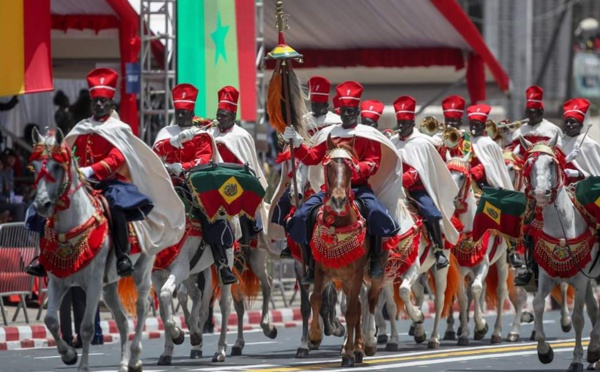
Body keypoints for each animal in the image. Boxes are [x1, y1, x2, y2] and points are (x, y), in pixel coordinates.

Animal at [30, 129, 154, 372]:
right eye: (35, 165)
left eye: (57, 166)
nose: (41, 205)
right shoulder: (57, 281)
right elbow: (51, 321)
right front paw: (68, 355)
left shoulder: (93, 282)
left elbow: (86, 327)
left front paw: (83, 366)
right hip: (109, 285)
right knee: (122, 320)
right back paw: (123, 363)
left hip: (141, 270)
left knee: (142, 307)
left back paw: (134, 359)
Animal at [308, 134, 386, 366]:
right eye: (329, 166)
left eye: (350, 168)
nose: (338, 200)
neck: (338, 224)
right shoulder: (320, 270)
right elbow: (316, 299)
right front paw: (314, 335)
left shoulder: (358, 272)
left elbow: (352, 313)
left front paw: (349, 354)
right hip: (343, 279)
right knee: (358, 306)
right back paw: (356, 347)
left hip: (371, 276)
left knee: (368, 302)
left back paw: (365, 344)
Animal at [520, 134, 600, 372]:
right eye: (529, 164)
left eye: (551, 163)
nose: (540, 193)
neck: (563, 226)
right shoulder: (548, 274)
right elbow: (537, 304)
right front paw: (544, 351)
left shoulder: (581, 278)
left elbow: (578, 318)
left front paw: (577, 359)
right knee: (594, 309)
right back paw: (595, 356)